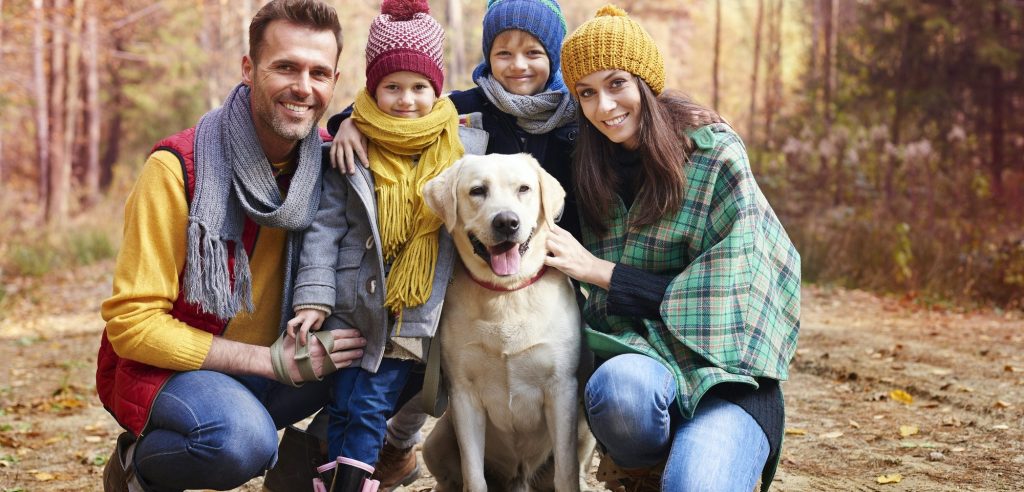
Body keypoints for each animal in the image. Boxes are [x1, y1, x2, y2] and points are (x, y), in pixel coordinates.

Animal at [417, 153, 593, 492]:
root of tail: (519, 479)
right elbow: (473, 476)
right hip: (437, 439)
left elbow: (566, 472)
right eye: (477, 191)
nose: (507, 222)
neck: (507, 294)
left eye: (524, 189)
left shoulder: (561, 388)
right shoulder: (463, 394)